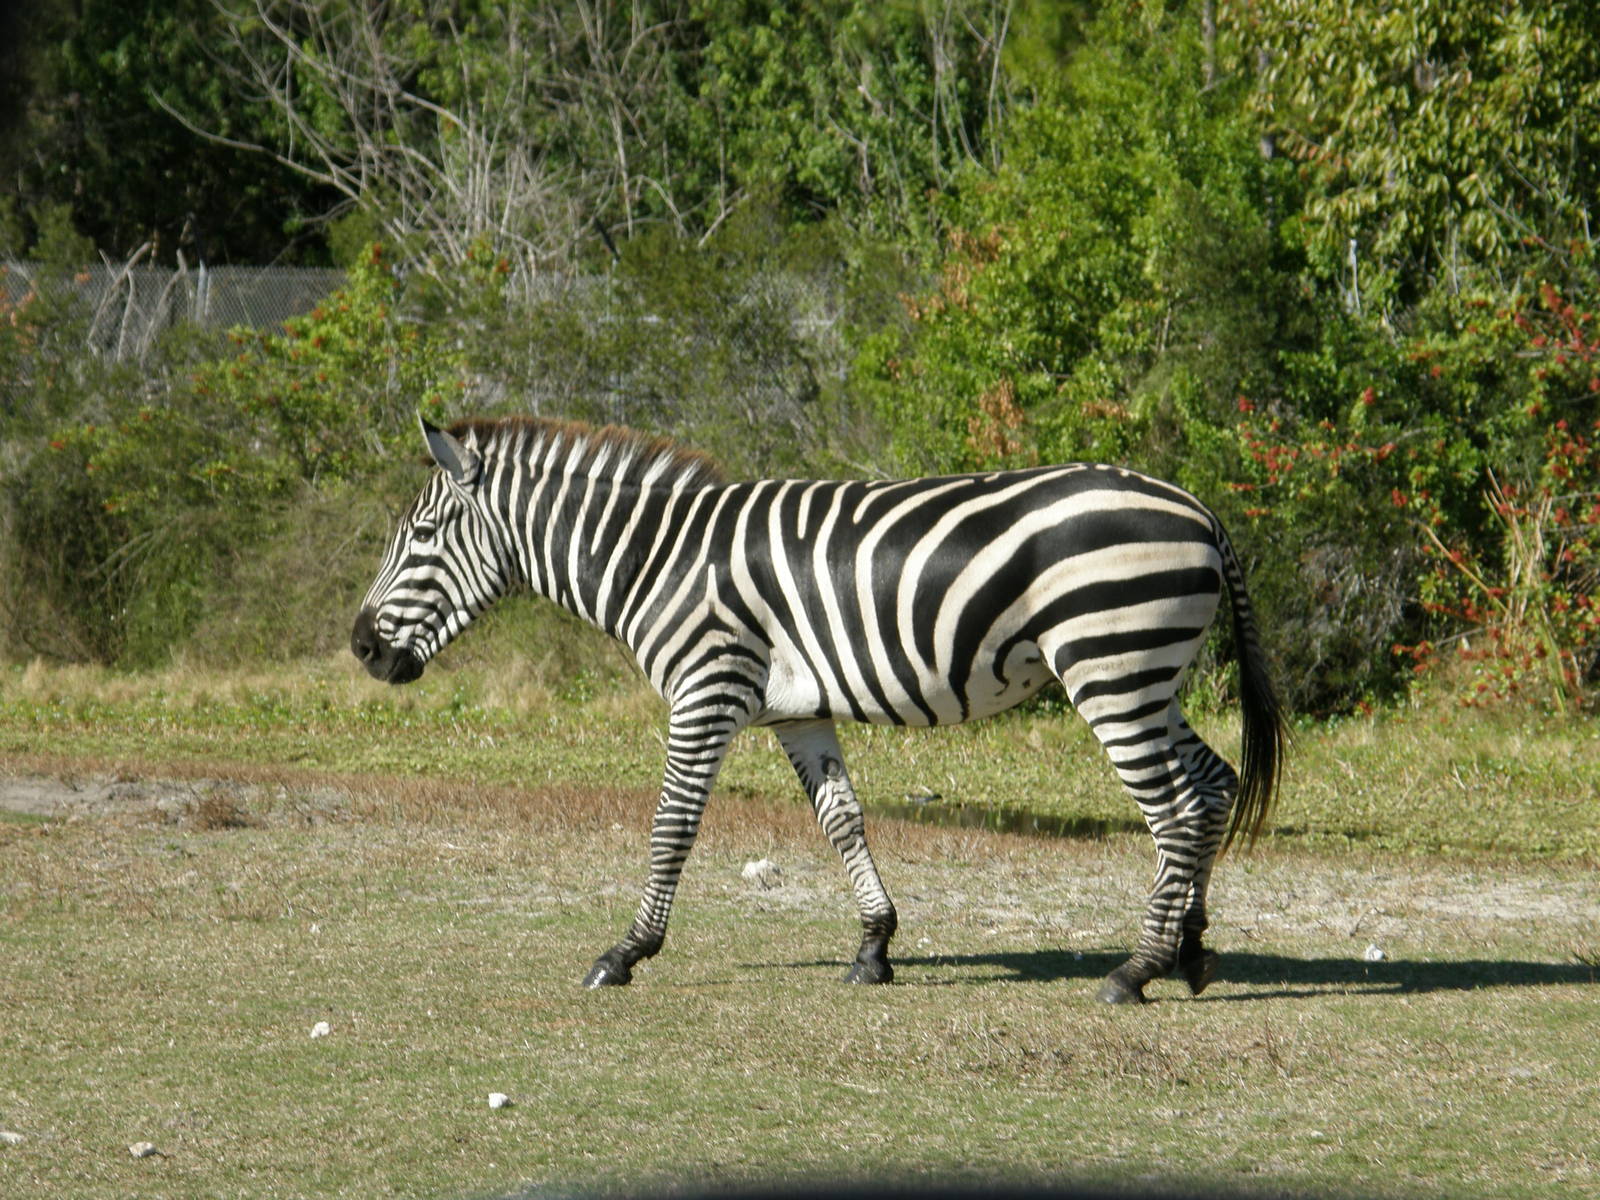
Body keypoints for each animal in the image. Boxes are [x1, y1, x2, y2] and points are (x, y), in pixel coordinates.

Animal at [351, 415, 1284, 1004]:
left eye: (421, 538)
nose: (361, 647)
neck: (658, 559)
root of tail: (1197, 508)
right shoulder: (796, 710)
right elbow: (843, 818)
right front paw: (875, 946)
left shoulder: (705, 690)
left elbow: (671, 826)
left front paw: (625, 952)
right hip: (1148, 675)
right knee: (1210, 785)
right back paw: (1191, 953)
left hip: (1110, 667)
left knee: (1172, 809)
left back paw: (1137, 970)